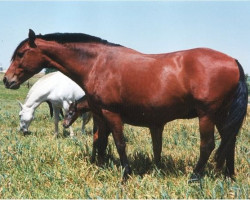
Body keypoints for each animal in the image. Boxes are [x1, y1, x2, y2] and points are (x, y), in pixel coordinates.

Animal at [3, 29, 248, 181]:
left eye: (21, 53)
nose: (7, 80)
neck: (97, 63)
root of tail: (233, 61)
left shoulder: (111, 113)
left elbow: (120, 143)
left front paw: (126, 174)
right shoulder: (100, 114)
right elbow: (100, 141)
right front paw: (100, 166)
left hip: (207, 114)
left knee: (208, 145)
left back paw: (195, 177)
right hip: (221, 114)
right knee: (230, 141)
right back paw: (229, 175)